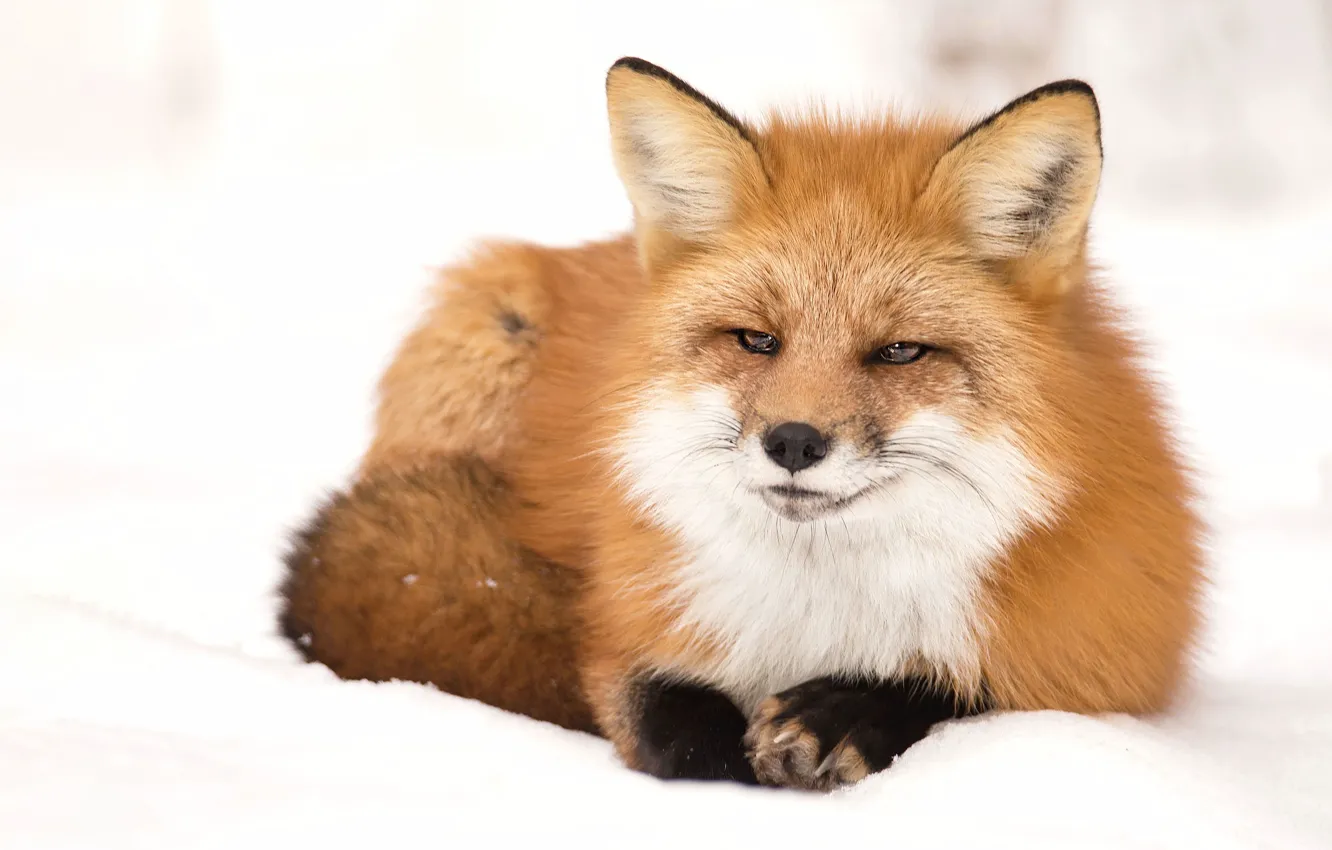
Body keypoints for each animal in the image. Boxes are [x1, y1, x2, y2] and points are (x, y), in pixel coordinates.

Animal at [278, 57, 1205, 790]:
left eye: (900, 352)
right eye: (757, 339)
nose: (793, 442)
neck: (816, 612)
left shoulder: (1104, 656)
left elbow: (967, 687)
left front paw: (848, 714)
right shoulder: (626, 625)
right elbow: (661, 714)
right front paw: (727, 768)